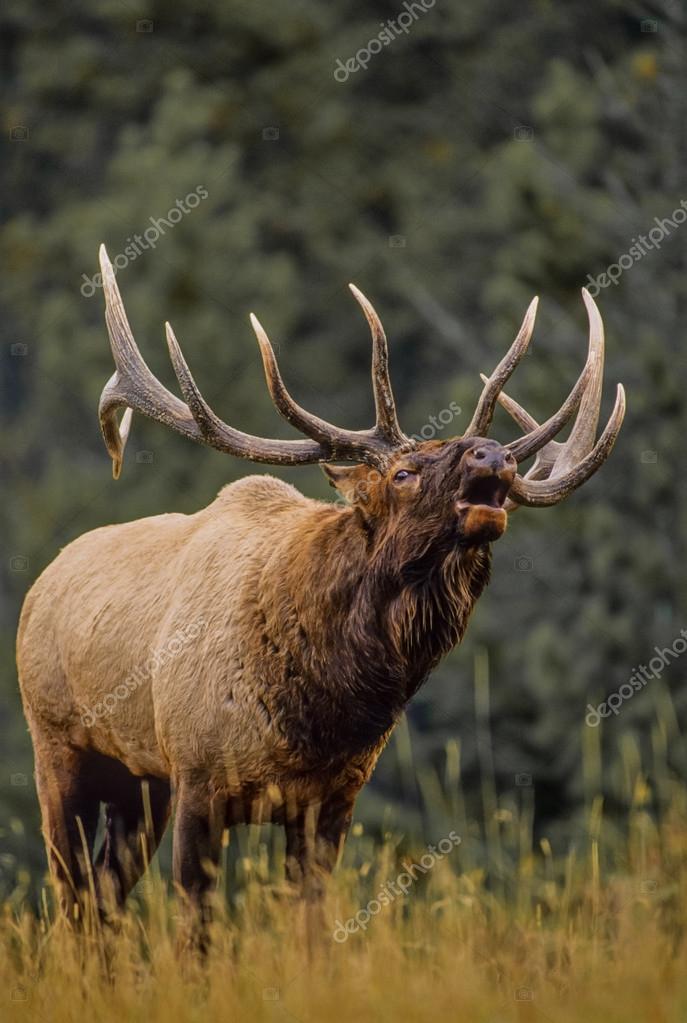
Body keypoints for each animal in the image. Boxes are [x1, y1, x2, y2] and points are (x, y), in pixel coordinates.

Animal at [17, 245, 625, 930]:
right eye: (402, 472)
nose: (493, 455)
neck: (320, 713)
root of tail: (44, 582)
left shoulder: (331, 798)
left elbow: (310, 923)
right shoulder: (198, 775)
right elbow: (196, 928)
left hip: (138, 780)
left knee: (103, 896)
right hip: (58, 747)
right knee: (72, 895)